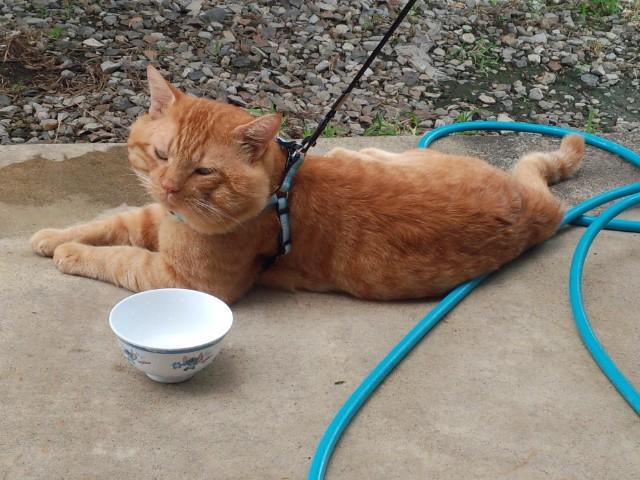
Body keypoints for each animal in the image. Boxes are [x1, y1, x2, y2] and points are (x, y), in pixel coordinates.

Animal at [30, 65, 584, 304]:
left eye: (204, 171)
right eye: (162, 155)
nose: (167, 187)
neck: (278, 190)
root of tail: (537, 211)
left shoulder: (189, 281)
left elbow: (119, 258)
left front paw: (71, 253)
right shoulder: (155, 217)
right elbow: (111, 223)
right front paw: (55, 236)